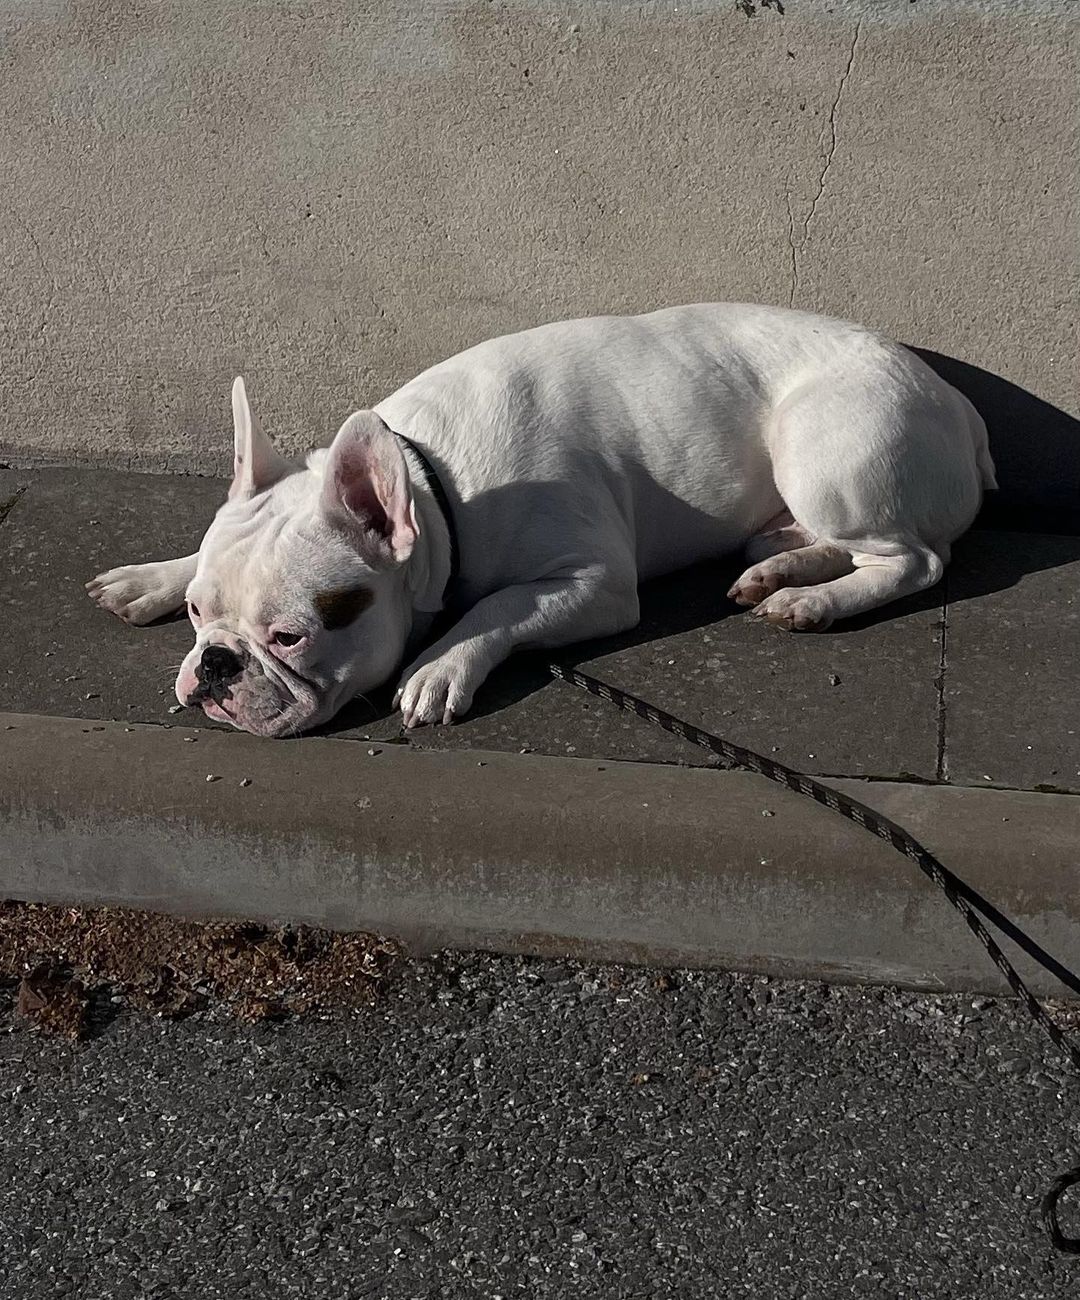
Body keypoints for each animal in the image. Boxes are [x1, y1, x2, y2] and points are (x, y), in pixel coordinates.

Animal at [87, 303, 995, 737]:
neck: (432, 484)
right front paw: (150, 577)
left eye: (290, 637)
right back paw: (779, 562)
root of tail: (956, 405)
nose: (213, 667)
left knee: (915, 560)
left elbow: (498, 605)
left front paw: (440, 666)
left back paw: (814, 600)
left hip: (824, 454)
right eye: (199, 614)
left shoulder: (594, 581)